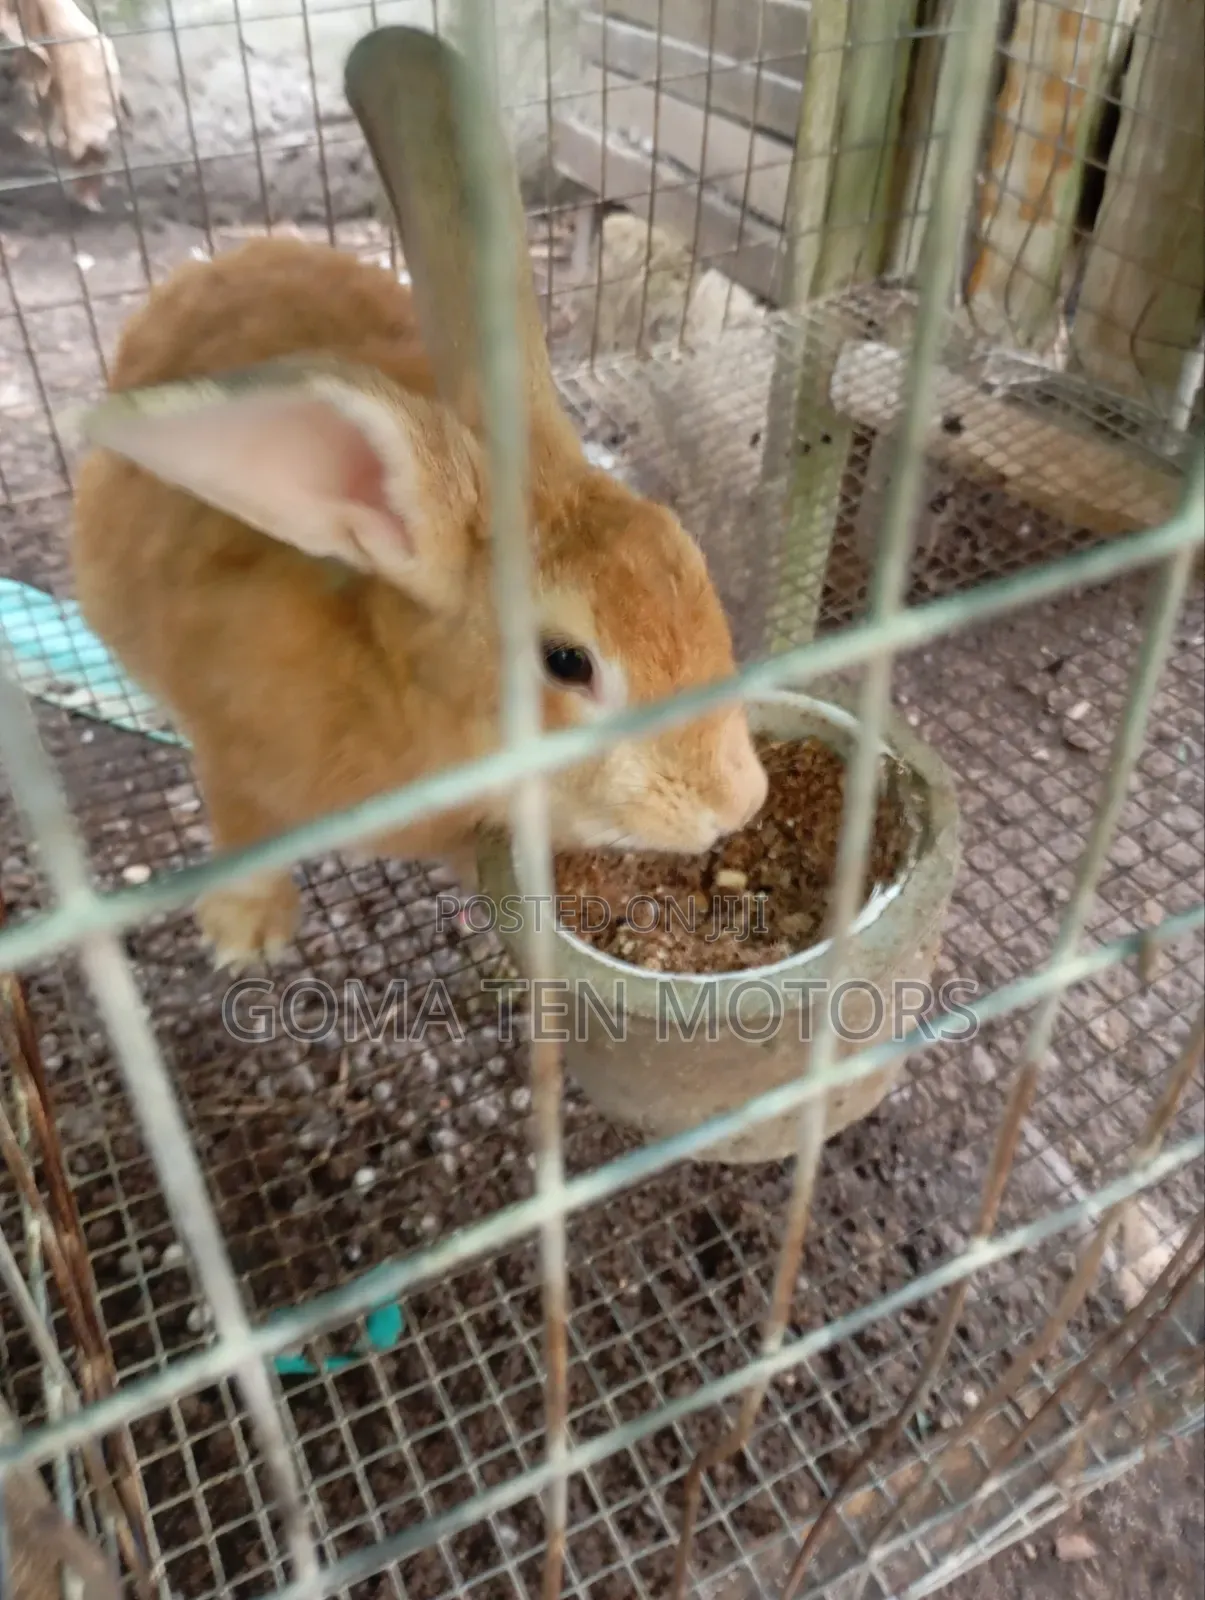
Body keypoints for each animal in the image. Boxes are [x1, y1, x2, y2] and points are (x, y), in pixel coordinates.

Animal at [69, 27, 767, 970]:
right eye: (566, 662)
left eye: (689, 560)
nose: (737, 801)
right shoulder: (233, 757)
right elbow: (244, 830)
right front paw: (246, 935)